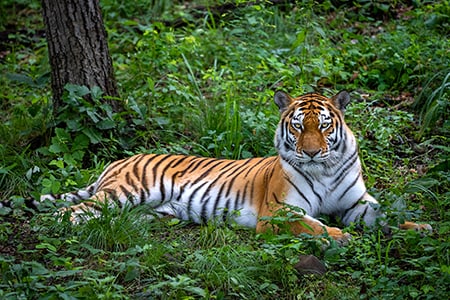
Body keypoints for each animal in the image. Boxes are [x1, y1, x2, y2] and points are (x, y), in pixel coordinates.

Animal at [2, 89, 432, 244]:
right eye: (298, 126)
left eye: (324, 126)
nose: (311, 153)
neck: (324, 171)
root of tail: (119, 160)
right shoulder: (279, 213)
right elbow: (312, 225)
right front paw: (340, 237)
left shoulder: (356, 204)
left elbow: (388, 216)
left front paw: (422, 228)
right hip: (125, 192)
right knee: (73, 212)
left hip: (147, 211)